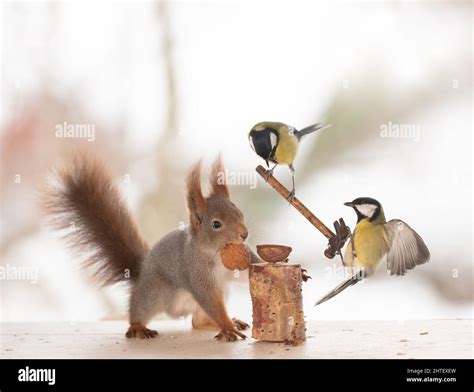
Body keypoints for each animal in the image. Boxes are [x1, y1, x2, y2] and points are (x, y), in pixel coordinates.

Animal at [41, 155, 260, 342]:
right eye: (216, 224)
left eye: (239, 212)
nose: (245, 234)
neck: (217, 253)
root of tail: (140, 272)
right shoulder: (196, 272)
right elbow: (210, 301)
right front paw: (227, 327)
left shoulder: (238, 261)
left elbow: (248, 269)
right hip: (154, 292)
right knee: (139, 311)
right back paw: (138, 327)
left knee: (197, 322)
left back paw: (227, 322)